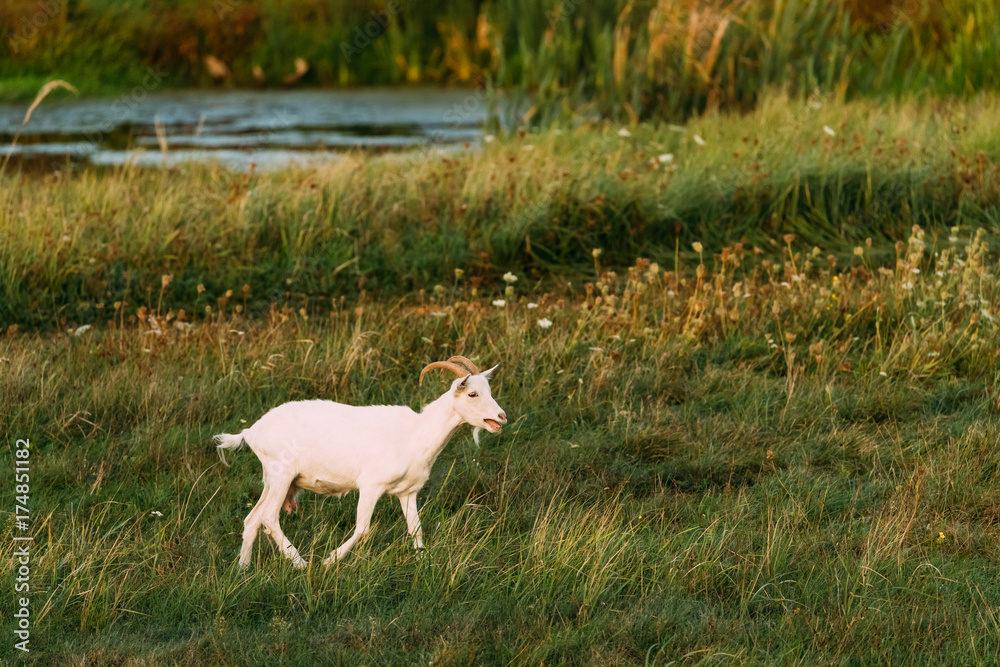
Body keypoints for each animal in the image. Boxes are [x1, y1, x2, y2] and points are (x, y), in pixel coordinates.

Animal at [214, 354, 504, 568]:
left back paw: (243, 568)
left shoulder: (408, 492)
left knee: (252, 519)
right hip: (281, 473)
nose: (501, 417)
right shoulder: (371, 485)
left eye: (489, 390)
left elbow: (416, 530)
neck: (416, 433)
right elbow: (363, 529)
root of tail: (251, 432)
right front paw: (330, 561)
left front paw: (424, 562)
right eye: (472, 394)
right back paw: (301, 564)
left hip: (271, 477)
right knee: (269, 518)